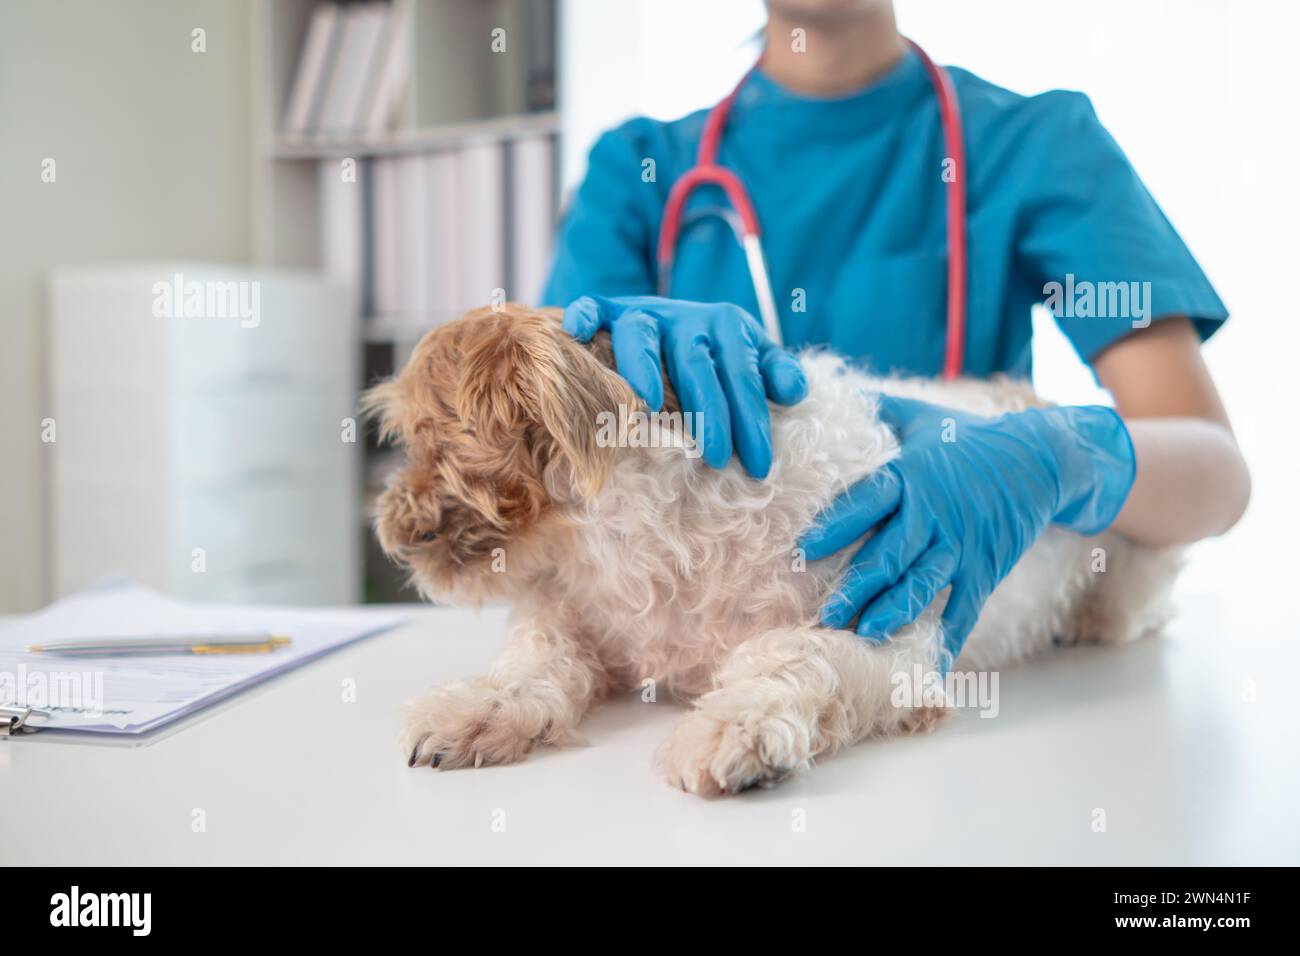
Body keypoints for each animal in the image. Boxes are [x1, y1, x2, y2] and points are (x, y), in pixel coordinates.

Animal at [366, 308, 1180, 801]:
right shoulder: (578, 617)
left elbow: (793, 654)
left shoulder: (892, 635)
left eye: (426, 438)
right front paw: (478, 707)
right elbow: (536, 659)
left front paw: (736, 726)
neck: (639, 535)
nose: (387, 528)